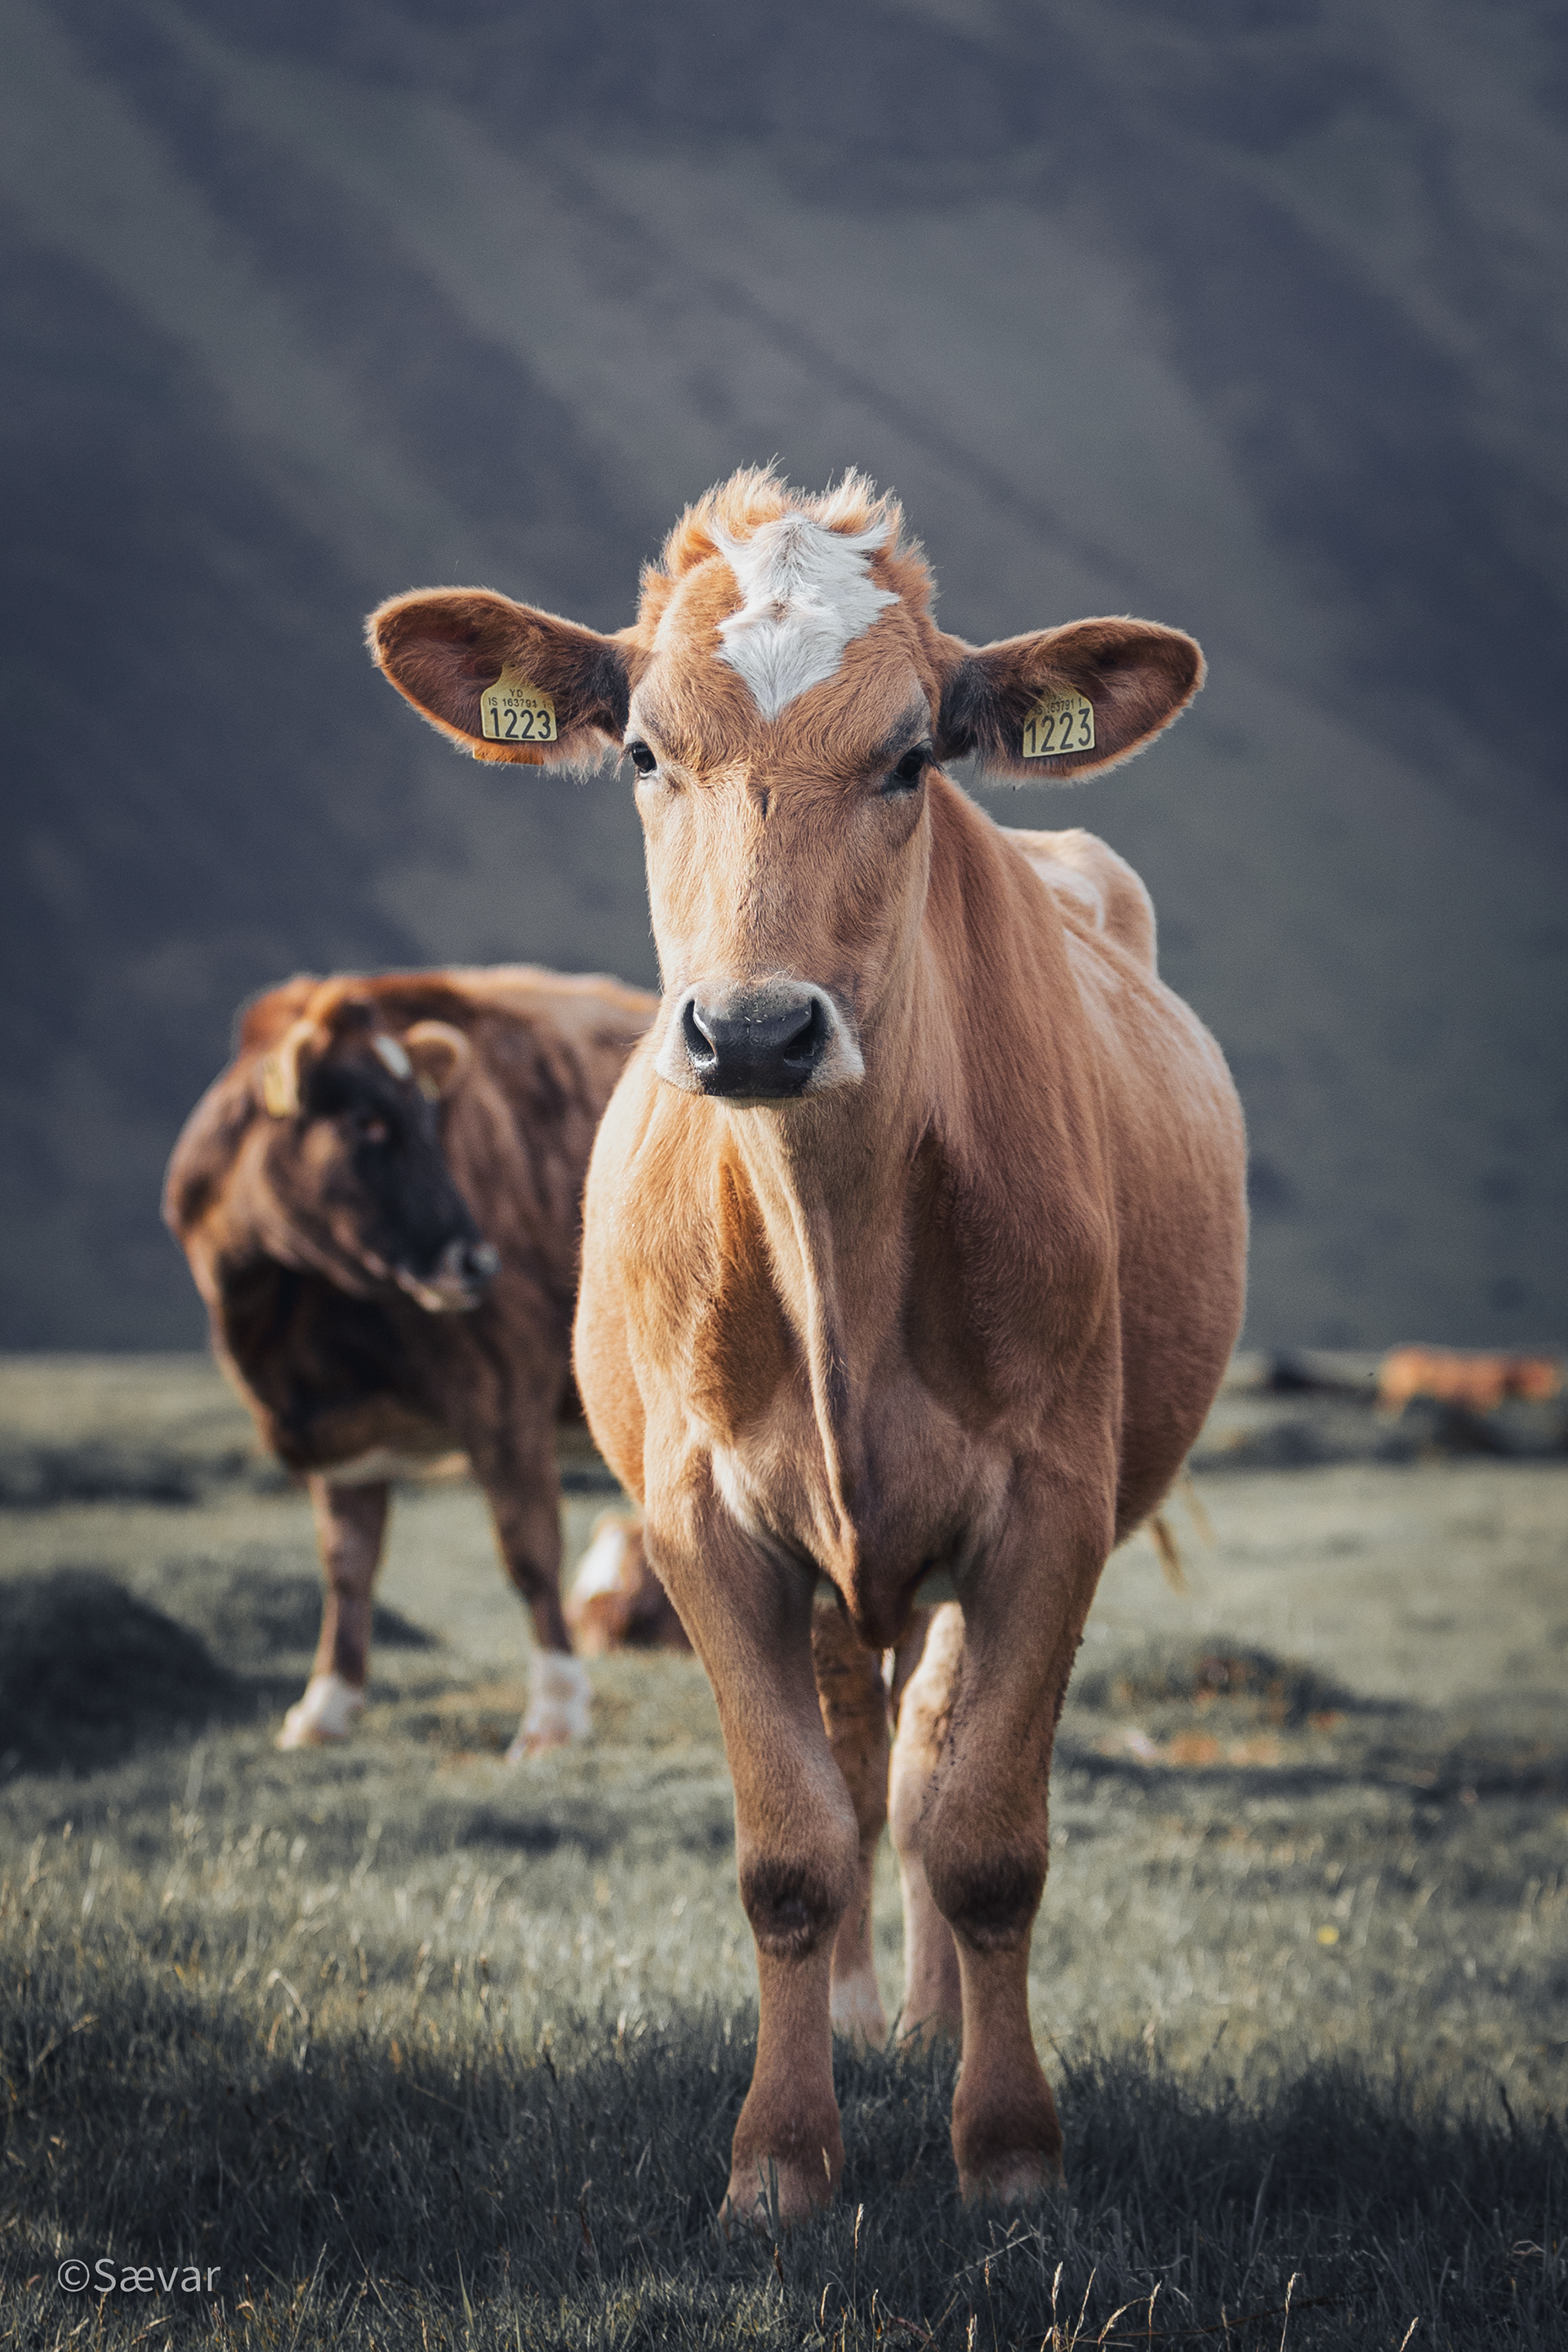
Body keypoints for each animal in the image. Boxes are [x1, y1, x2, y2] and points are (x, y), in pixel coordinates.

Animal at [163, 965, 654, 1758]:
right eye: (368, 1124)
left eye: (431, 1123)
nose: (476, 1261)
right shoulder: (334, 1435)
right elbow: (348, 1565)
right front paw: (325, 1706)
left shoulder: (504, 1401)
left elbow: (529, 1553)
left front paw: (554, 1712)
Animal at [368, 468, 1248, 2218]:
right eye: (645, 752)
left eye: (913, 756)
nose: (757, 1031)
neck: (839, 1240)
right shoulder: (701, 1514)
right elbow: (790, 1843)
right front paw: (780, 2158)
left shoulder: (1050, 1512)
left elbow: (984, 1835)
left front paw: (1008, 2150)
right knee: (853, 1754)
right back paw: (848, 2012)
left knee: (915, 1767)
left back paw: (922, 2023)